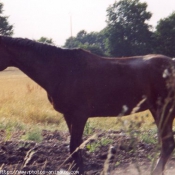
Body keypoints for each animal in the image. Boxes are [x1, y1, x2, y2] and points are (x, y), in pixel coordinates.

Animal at [0, 35, 175, 174]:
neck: (61, 69)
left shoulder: (79, 116)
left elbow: (75, 147)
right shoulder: (68, 115)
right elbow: (74, 150)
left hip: (165, 110)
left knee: (167, 144)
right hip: (157, 110)